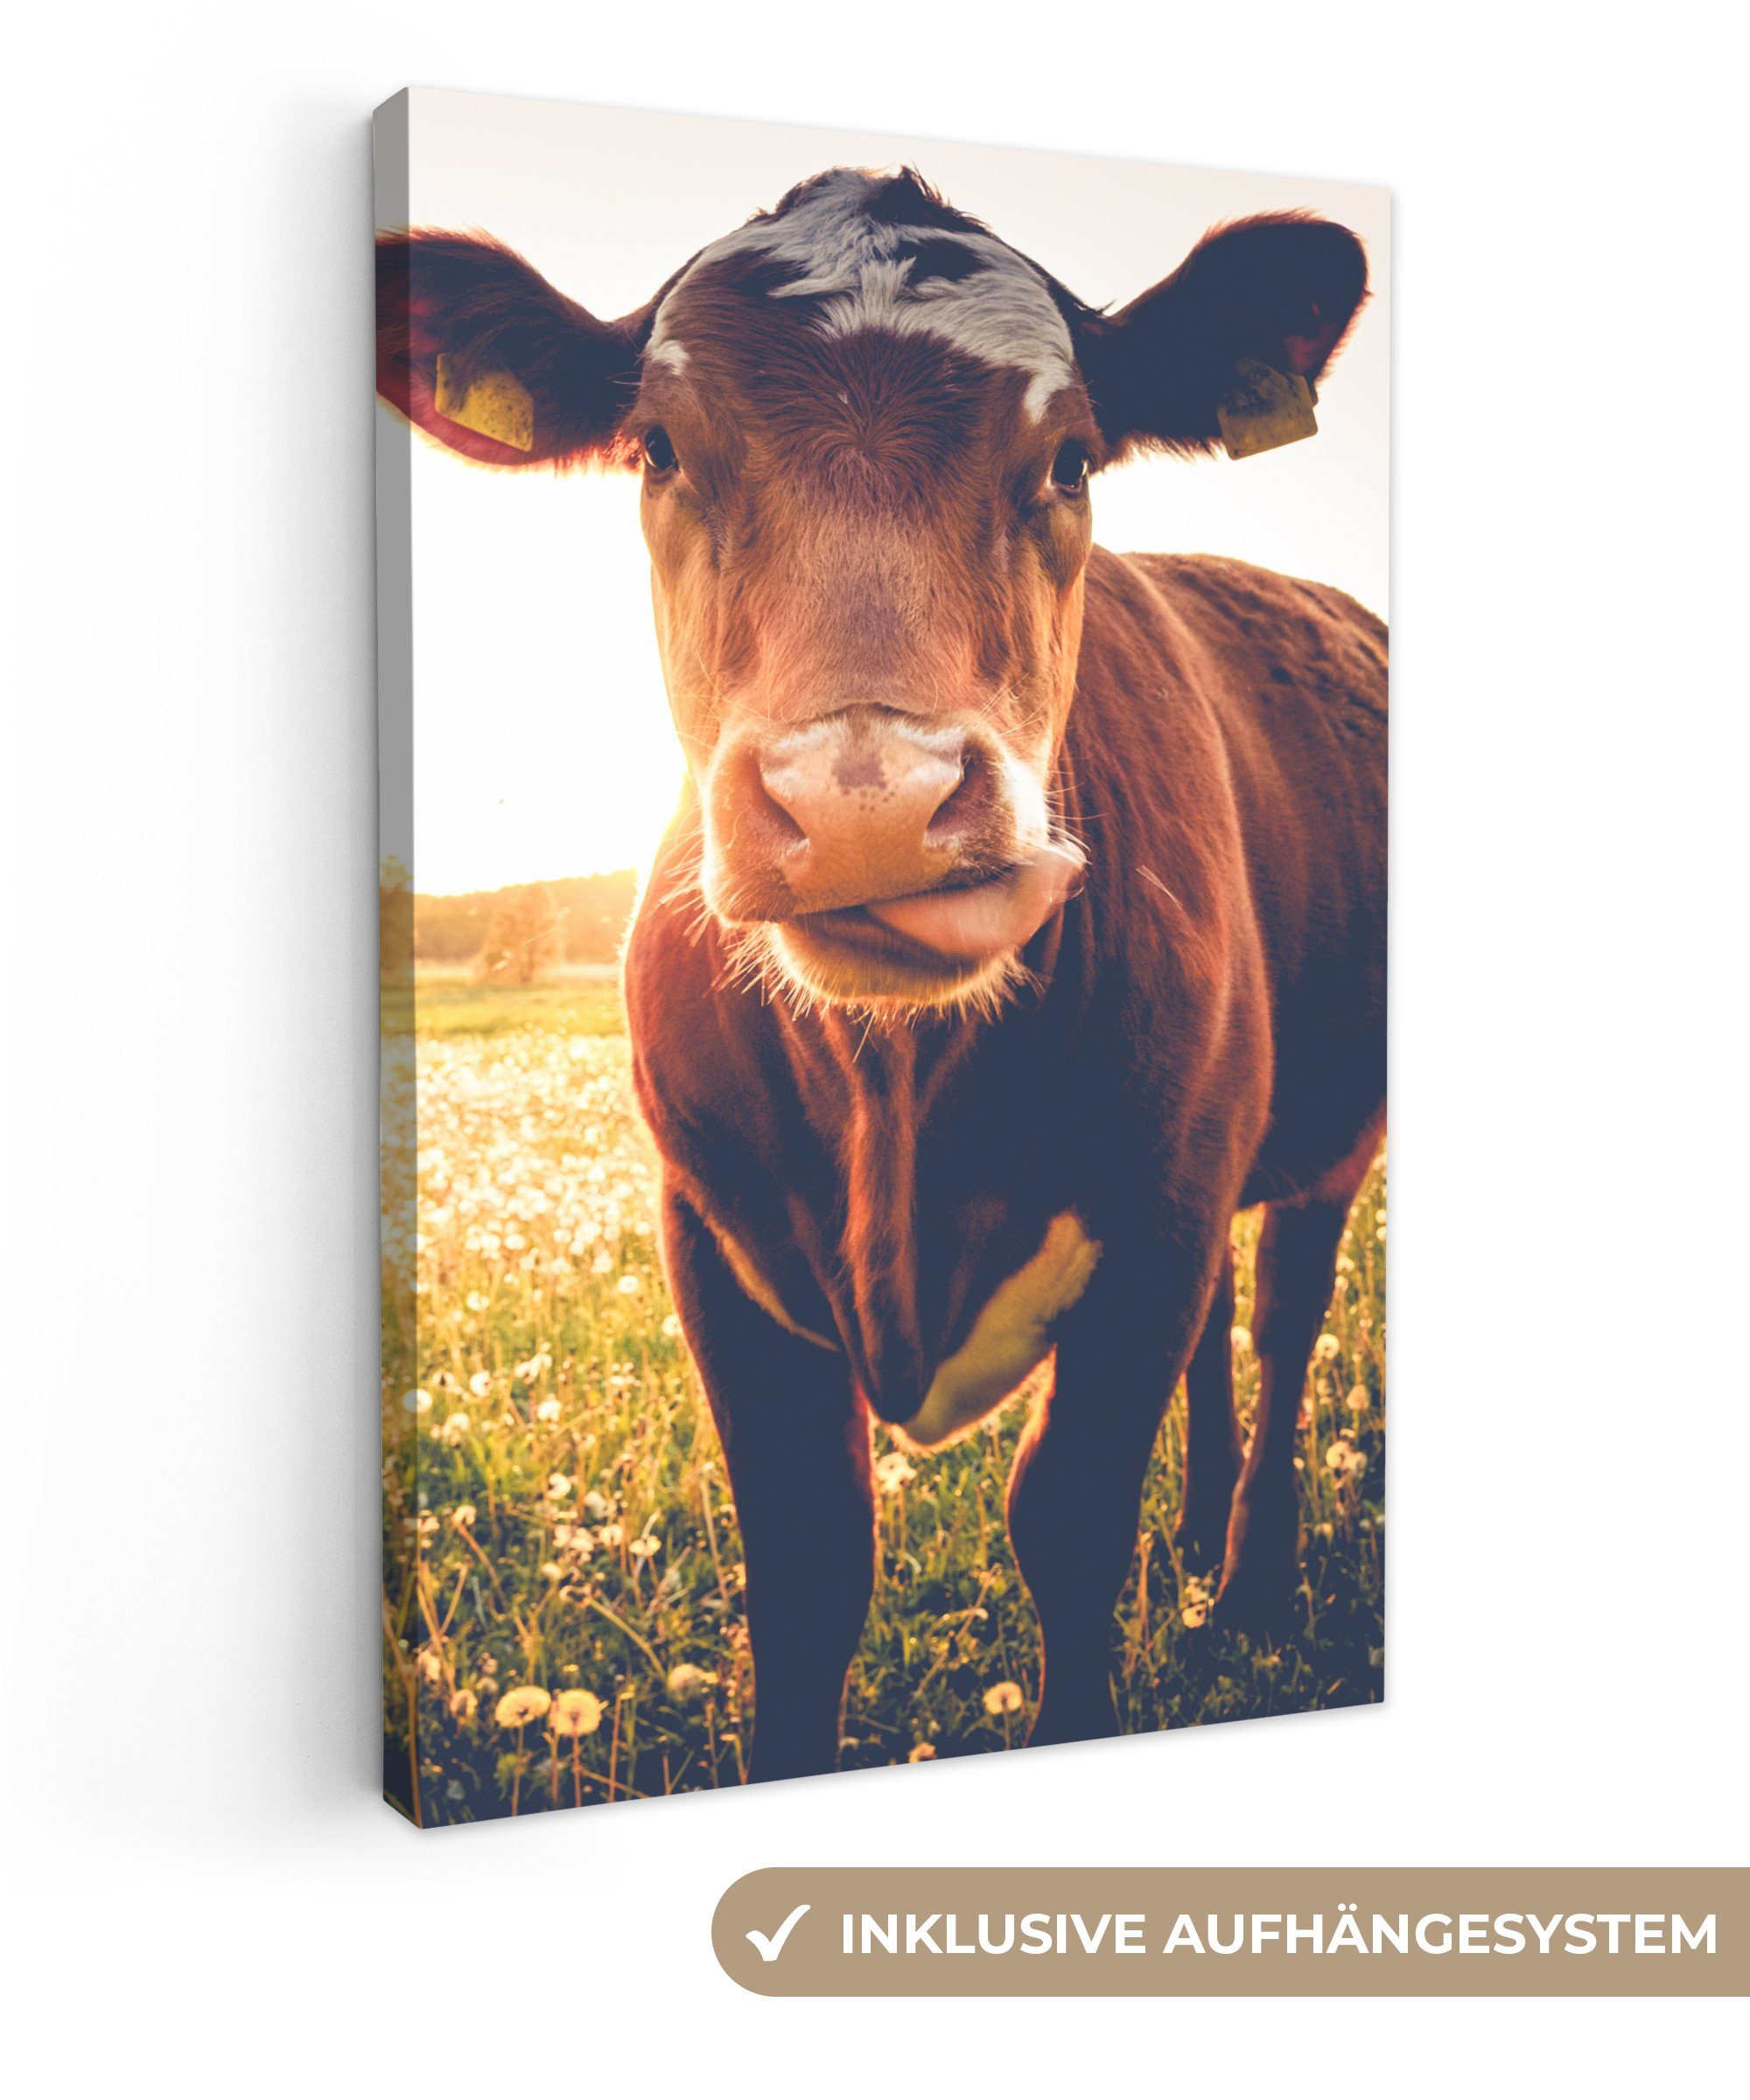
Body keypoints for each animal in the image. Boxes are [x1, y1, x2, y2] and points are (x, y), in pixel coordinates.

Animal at [376, 167, 1386, 1783]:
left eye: (1073, 456)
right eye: (658, 447)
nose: (866, 800)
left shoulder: (1156, 1215)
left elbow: (1067, 1521)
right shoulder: (710, 1236)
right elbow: (809, 1569)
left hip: (1321, 1138)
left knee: (1285, 1325)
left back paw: (1245, 1588)